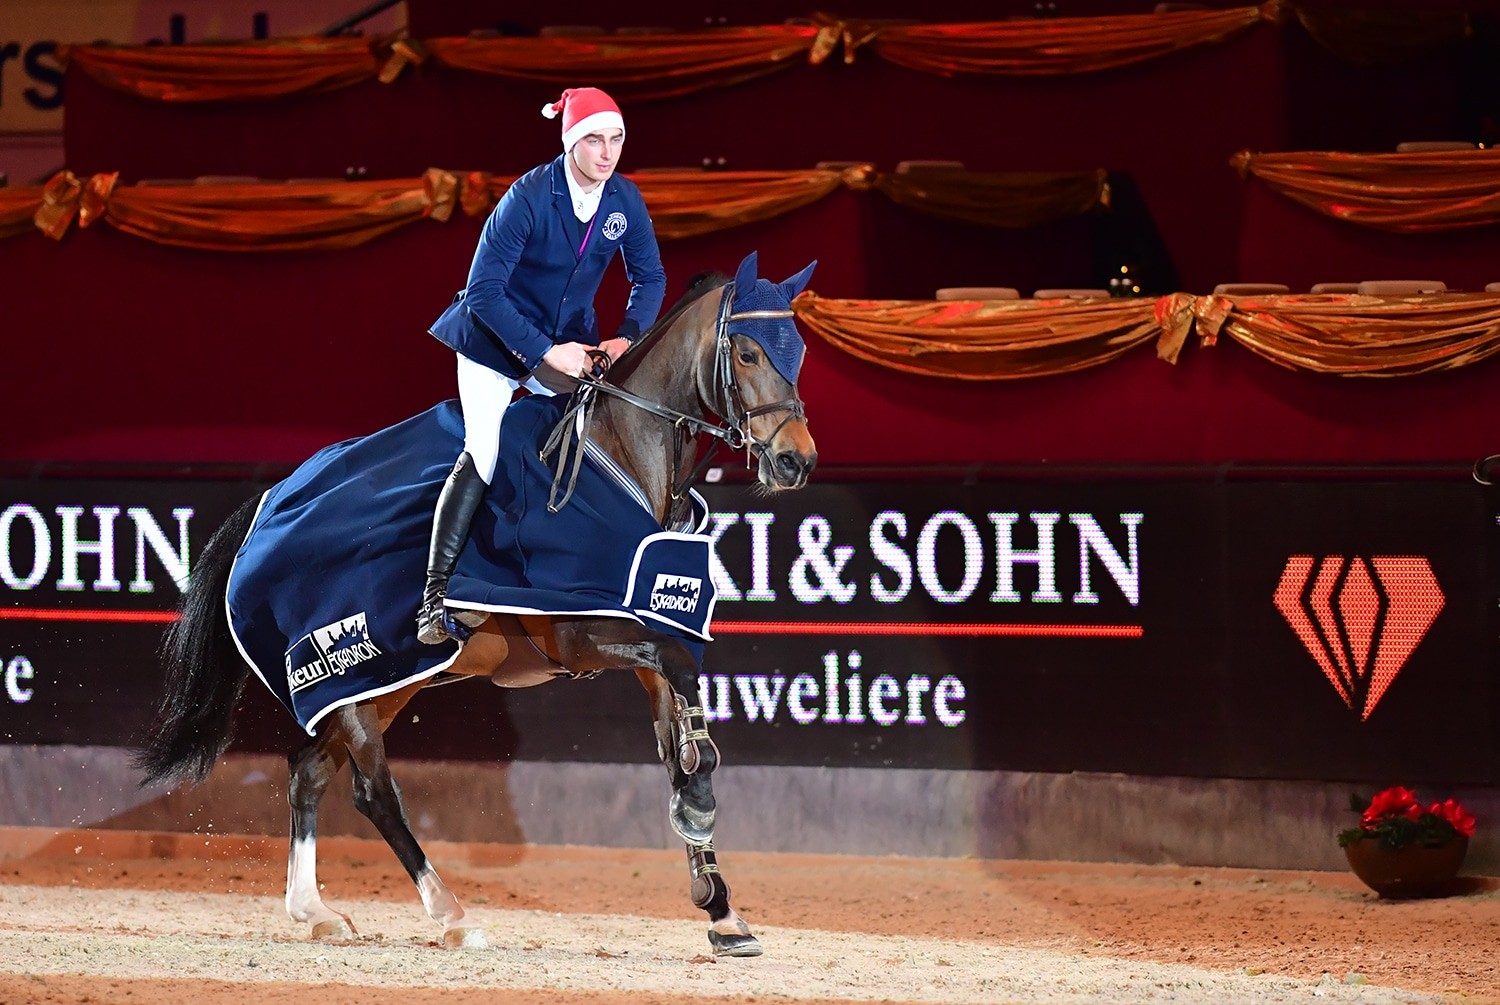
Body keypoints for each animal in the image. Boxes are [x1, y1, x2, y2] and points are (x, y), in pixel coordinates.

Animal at [135, 253, 822, 960]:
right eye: (746, 352)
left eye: (796, 353)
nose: (796, 461)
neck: (620, 456)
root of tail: (269, 503)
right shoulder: (582, 633)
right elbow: (683, 693)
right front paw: (700, 818)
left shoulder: (651, 635)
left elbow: (680, 735)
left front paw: (721, 907)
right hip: (350, 671)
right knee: (372, 791)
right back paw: (452, 915)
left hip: (382, 680)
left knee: (308, 772)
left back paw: (316, 910)